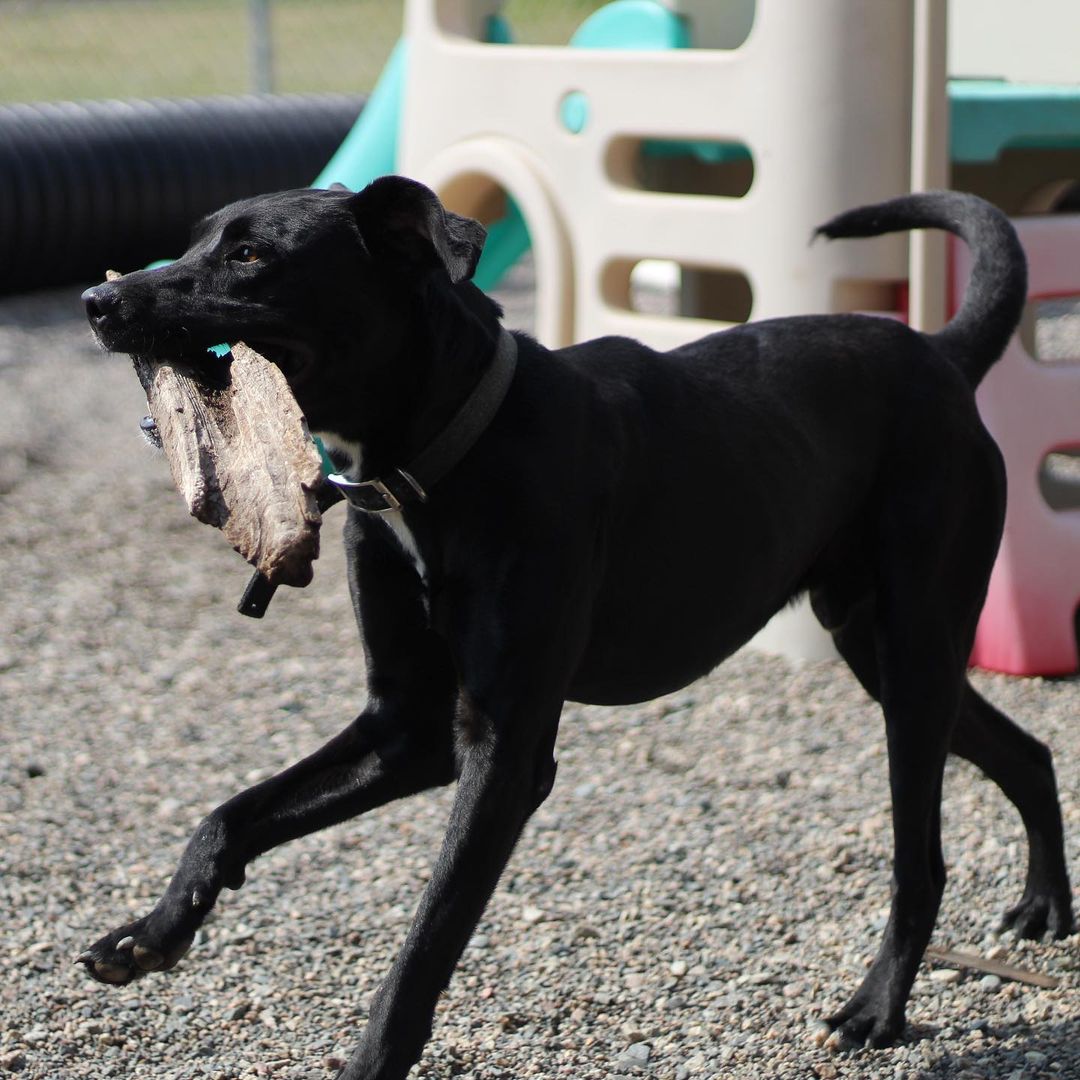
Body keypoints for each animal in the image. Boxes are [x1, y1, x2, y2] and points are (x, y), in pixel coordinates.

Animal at [82, 181, 1071, 1075]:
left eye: (252, 256)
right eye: (198, 237)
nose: (98, 301)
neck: (450, 451)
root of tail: (940, 356)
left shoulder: (505, 751)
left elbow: (423, 944)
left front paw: (369, 1060)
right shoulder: (405, 730)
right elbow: (229, 815)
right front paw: (151, 933)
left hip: (913, 651)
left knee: (920, 860)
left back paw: (876, 1008)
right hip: (878, 646)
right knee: (1026, 751)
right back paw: (1045, 906)